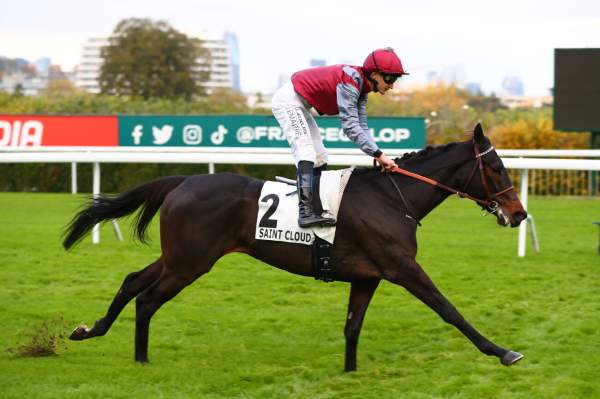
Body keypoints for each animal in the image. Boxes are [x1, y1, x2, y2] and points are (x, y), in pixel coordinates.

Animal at [63, 124, 528, 372]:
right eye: (494, 166)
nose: (519, 213)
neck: (392, 198)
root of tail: (184, 180)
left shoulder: (367, 277)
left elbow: (352, 327)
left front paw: (350, 372)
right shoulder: (402, 268)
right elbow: (449, 309)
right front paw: (503, 351)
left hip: (179, 256)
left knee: (132, 281)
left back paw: (90, 329)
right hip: (190, 263)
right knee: (147, 298)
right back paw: (140, 358)